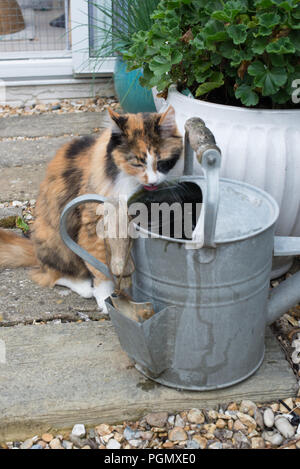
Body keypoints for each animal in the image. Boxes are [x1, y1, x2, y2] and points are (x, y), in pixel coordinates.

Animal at [0, 106, 183, 310]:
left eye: (162, 162)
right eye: (136, 163)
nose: (152, 182)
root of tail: (34, 248)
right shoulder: (93, 227)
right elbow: (101, 271)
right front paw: (106, 300)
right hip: (56, 240)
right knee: (53, 275)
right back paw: (85, 287)